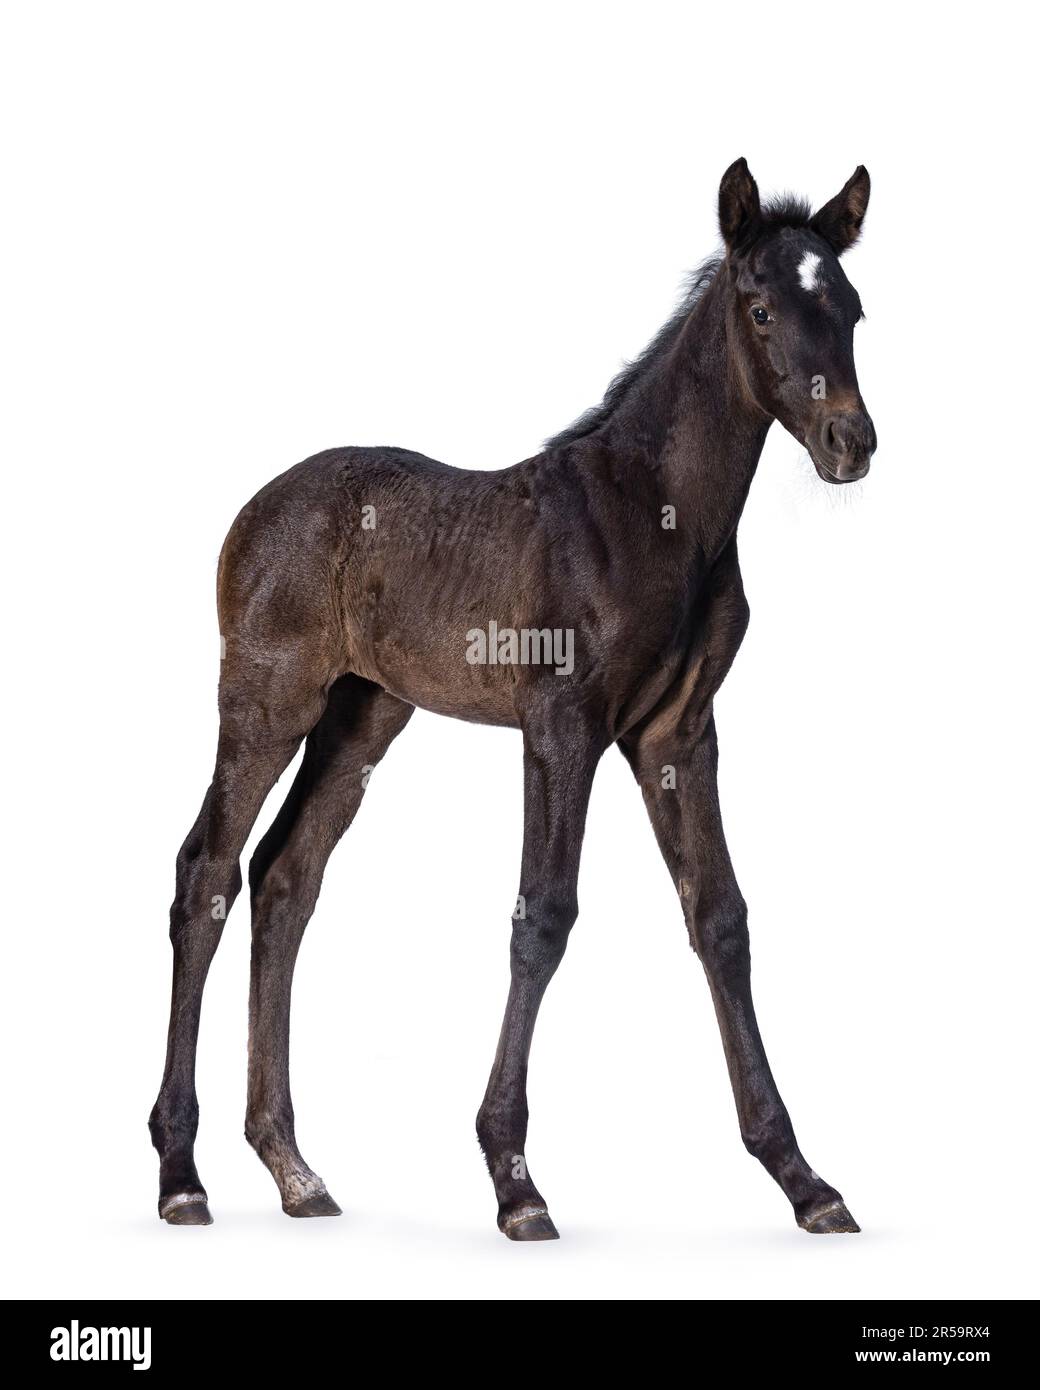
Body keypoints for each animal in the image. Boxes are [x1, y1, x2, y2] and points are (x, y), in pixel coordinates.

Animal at [150, 158, 876, 1239]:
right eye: (759, 308)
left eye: (854, 310)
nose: (849, 442)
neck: (658, 513)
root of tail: (253, 511)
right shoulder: (562, 726)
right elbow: (544, 916)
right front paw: (514, 1179)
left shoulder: (677, 734)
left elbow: (721, 918)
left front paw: (804, 1179)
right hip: (268, 702)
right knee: (208, 870)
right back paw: (180, 1172)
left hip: (363, 717)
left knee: (286, 878)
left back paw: (294, 1169)